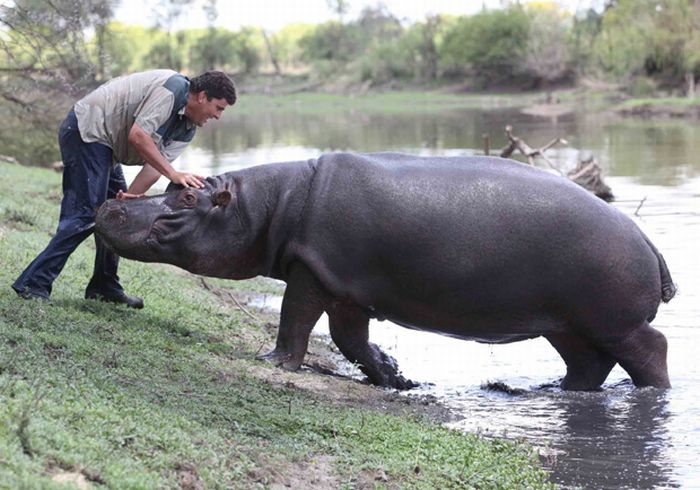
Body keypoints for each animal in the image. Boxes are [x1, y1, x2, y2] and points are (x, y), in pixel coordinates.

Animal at [95, 152, 675, 391]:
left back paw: (653, 394)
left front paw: (272, 361)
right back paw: (559, 390)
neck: (268, 206)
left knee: (652, 350)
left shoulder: (310, 272)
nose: (110, 204)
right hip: (567, 323)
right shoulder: (343, 287)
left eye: (184, 197)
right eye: (175, 185)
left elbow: (294, 321)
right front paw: (395, 376)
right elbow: (350, 340)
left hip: (613, 321)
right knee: (589, 364)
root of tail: (649, 240)